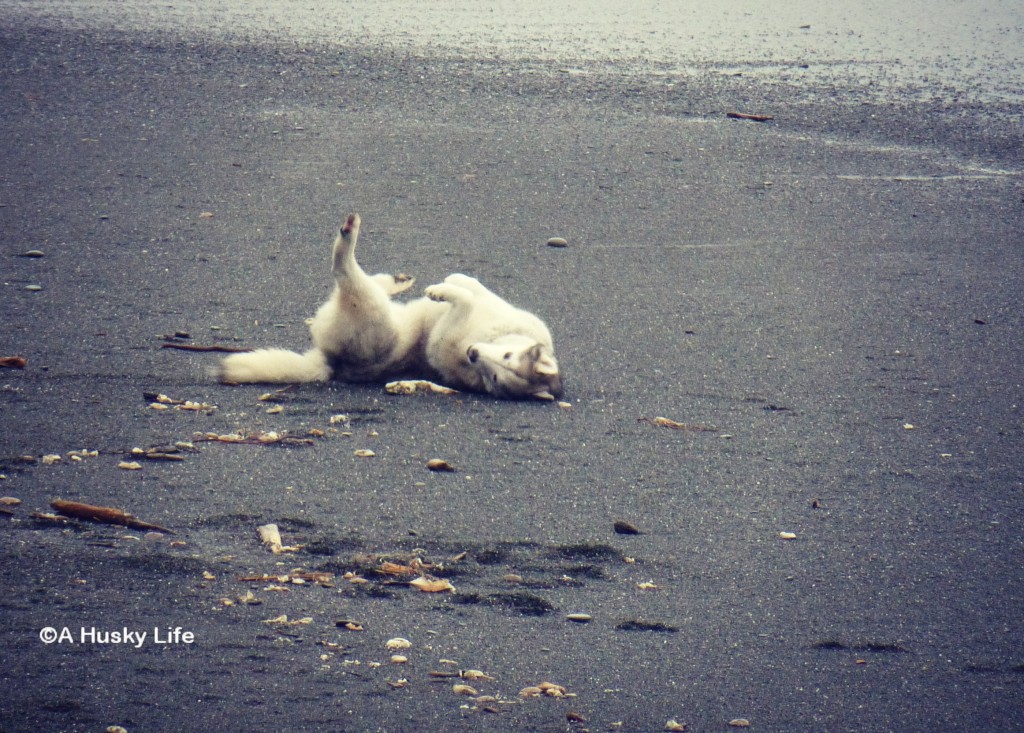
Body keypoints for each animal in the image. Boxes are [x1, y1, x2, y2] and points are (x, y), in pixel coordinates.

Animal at [216, 212, 565, 401]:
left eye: (494, 378)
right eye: (505, 357)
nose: (473, 353)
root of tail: (331, 365)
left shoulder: (444, 340)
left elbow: (463, 297)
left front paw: (441, 291)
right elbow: (470, 284)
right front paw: (452, 281)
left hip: (371, 312)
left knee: (346, 272)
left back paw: (350, 234)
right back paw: (396, 280)